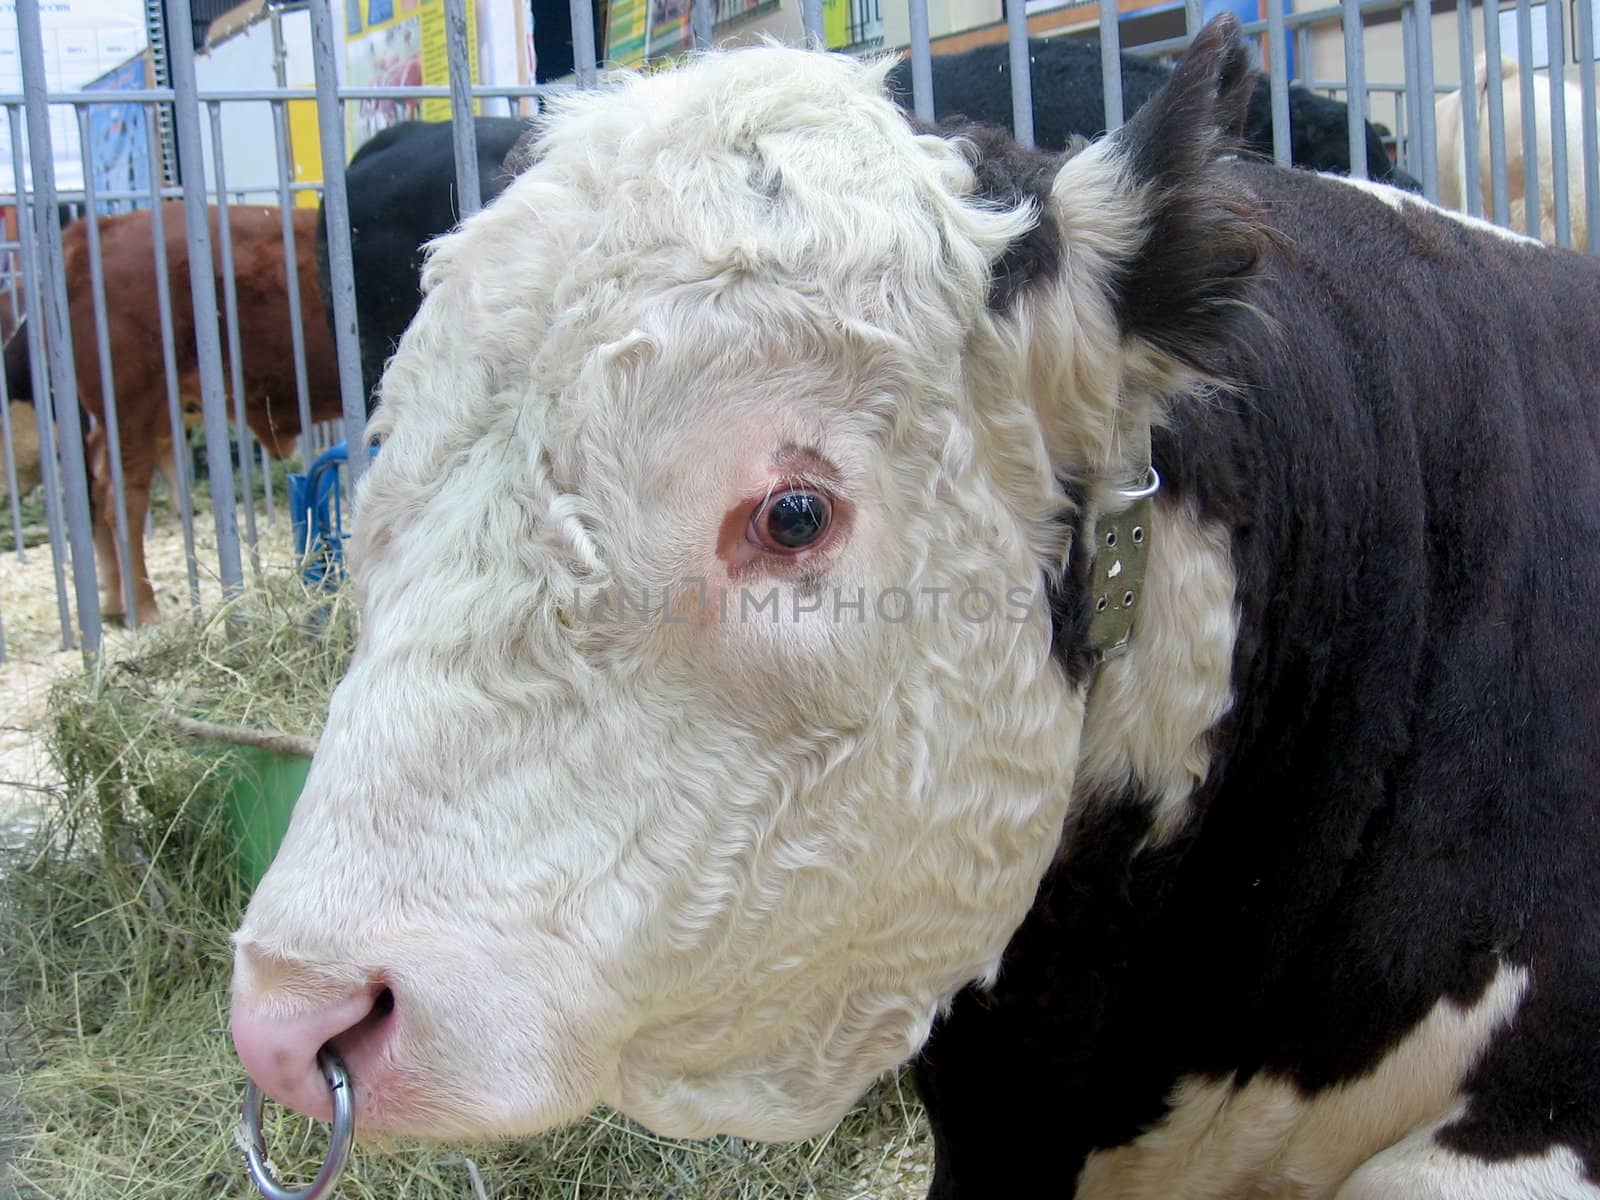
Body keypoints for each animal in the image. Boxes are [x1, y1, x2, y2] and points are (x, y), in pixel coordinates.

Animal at [3, 202, 337, 624]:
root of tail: (98, 229)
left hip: (149, 413)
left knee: (93, 478)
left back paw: (114, 602)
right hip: (133, 405)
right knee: (121, 499)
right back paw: (144, 610)